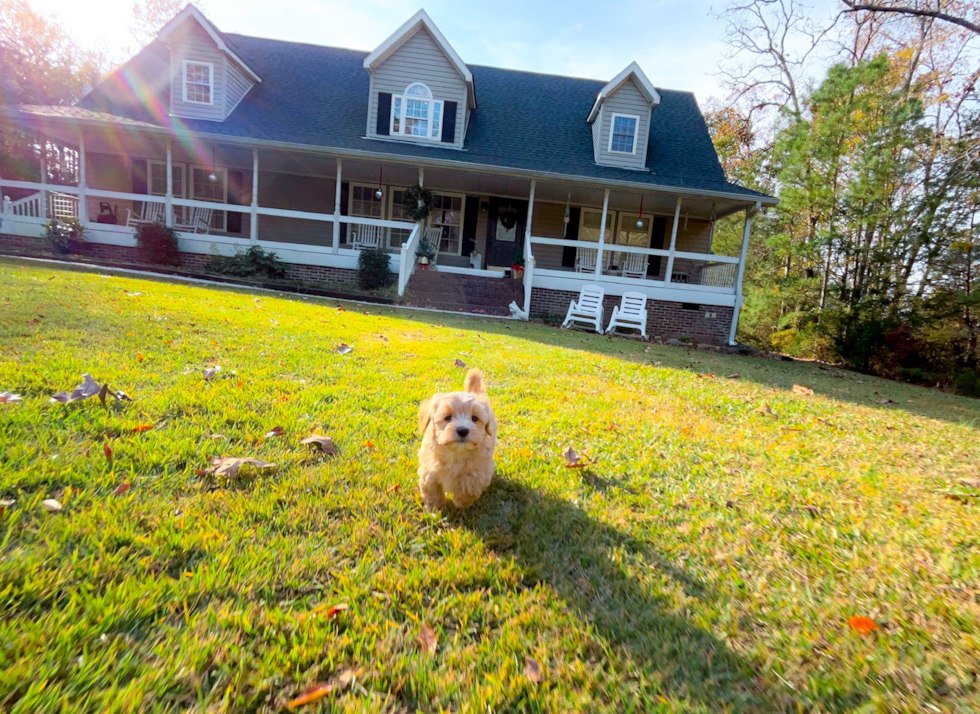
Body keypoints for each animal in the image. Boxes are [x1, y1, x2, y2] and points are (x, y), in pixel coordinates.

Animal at [418, 368, 498, 506]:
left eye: (475, 418)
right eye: (447, 417)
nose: (463, 430)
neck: (456, 453)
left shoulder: (482, 468)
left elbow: (470, 486)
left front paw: (460, 502)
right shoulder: (428, 468)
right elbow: (431, 489)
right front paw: (435, 507)